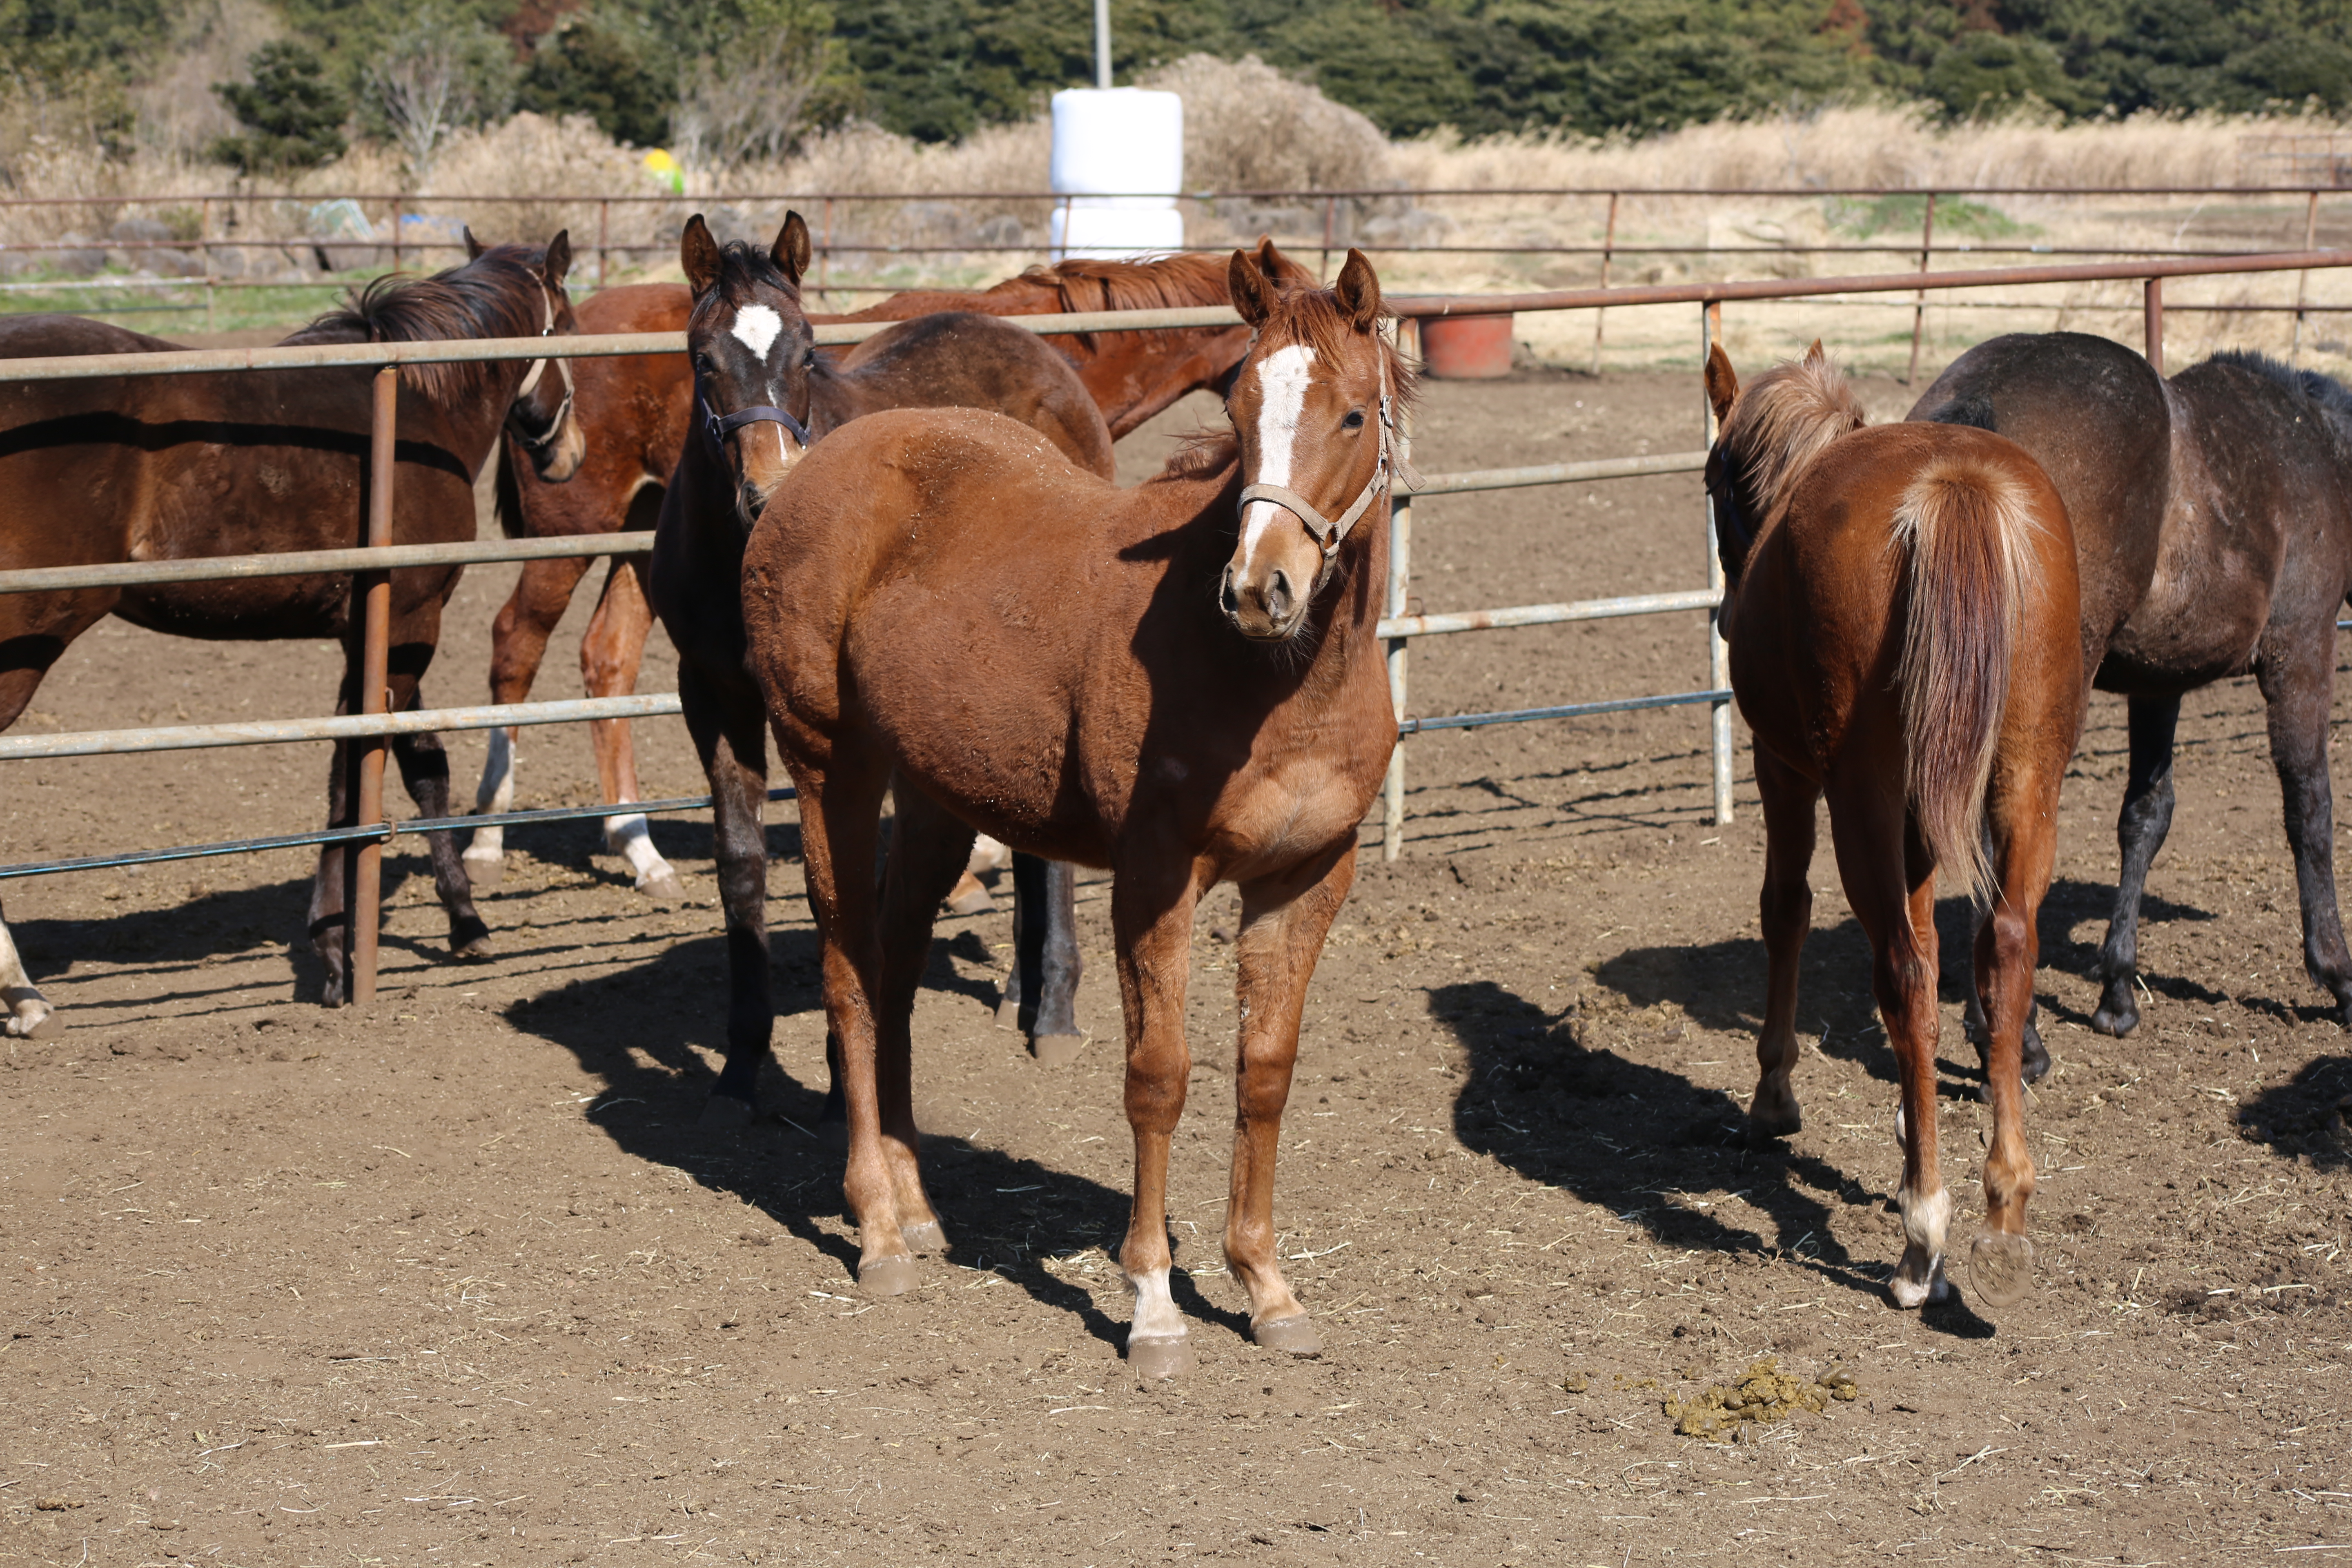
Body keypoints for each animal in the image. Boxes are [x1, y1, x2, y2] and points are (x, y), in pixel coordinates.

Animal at [0, 227, 583, 1025]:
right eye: (575, 323)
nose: (568, 455)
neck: (416, 406)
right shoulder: (409, 625)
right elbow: (373, 776)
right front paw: (345, 954)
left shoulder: (369, 633)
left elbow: (403, 769)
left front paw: (452, 923)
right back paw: (20, 991)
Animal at [1712, 343, 2079, 1316]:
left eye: (1714, 478)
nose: (1724, 610)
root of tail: (1958, 486)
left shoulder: (1785, 770)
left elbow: (1786, 911)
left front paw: (1774, 1098)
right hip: (2027, 779)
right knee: (2005, 950)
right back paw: (2003, 1204)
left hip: (1863, 798)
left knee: (1906, 977)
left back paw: (1923, 1241)